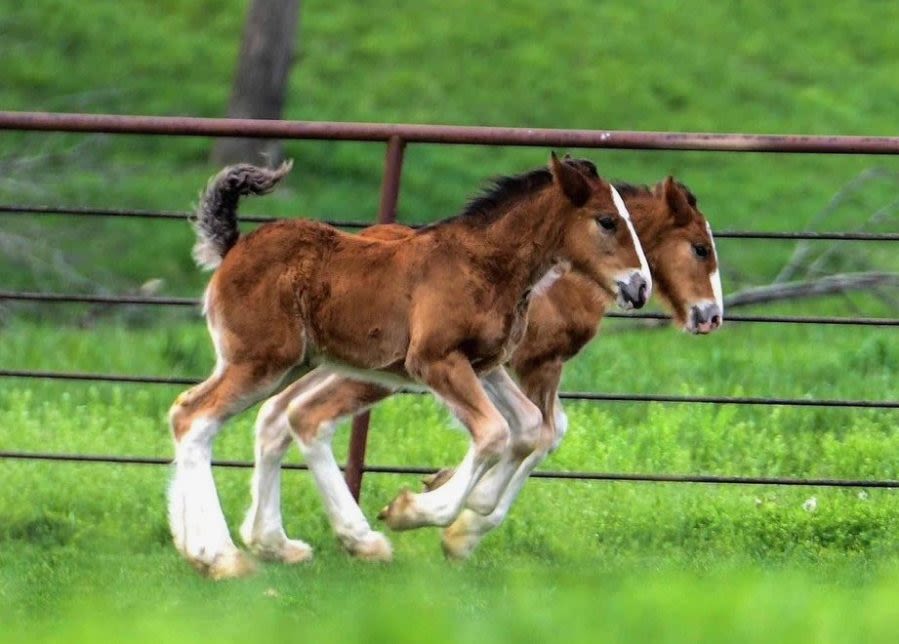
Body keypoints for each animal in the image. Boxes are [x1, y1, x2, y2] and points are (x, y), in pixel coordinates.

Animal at [169, 156, 652, 580]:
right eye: (607, 221)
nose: (640, 286)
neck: (485, 264)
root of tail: (234, 245)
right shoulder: (435, 360)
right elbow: (495, 433)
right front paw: (414, 512)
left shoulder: (485, 365)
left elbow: (531, 426)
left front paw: (474, 508)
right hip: (260, 362)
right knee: (197, 418)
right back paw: (220, 556)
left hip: (294, 365)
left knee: (220, 415)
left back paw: (248, 546)